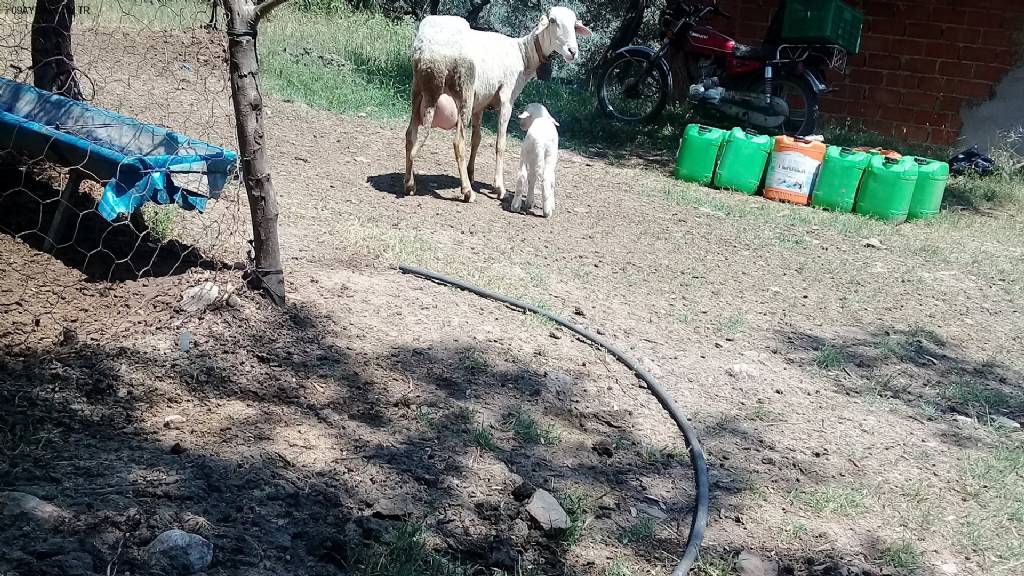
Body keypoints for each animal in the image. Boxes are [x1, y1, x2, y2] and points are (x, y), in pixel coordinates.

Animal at [401, 6, 593, 201]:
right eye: (553, 21)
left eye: (574, 25)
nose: (572, 51)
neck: (524, 54)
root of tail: (431, 56)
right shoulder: (506, 99)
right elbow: (500, 143)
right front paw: (498, 186)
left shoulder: (480, 104)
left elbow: (477, 139)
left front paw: (471, 173)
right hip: (464, 90)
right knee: (458, 142)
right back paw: (467, 191)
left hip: (418, 90)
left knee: (410, 136)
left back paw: (409, 184)